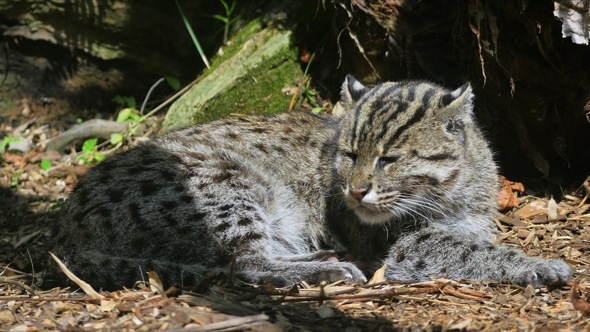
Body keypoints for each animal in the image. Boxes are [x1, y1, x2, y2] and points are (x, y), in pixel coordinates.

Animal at [52, 76, 572, 290]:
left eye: (389, 159)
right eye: (349, 154)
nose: (356, 190)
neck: (450, 190)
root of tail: (65, 230)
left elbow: (475, 242)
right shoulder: (404, 242)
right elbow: (470, 252)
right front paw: (538, 265)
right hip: (224, 181)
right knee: (244, 265)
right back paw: (327, 270)